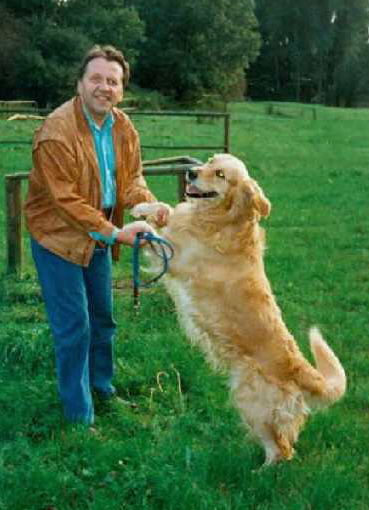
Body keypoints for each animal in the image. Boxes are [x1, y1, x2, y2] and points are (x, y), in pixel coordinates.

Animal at [132, 153, 344, 464]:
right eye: (209, 162)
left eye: (220, 174)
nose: (192, 172)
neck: (221, 219)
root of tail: (299, 369)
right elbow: (165, 210)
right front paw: (144, 208)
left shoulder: (177, 257)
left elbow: (154, 232)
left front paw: (136, 226)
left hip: (252, 401)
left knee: (282, 449)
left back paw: (259, 471)